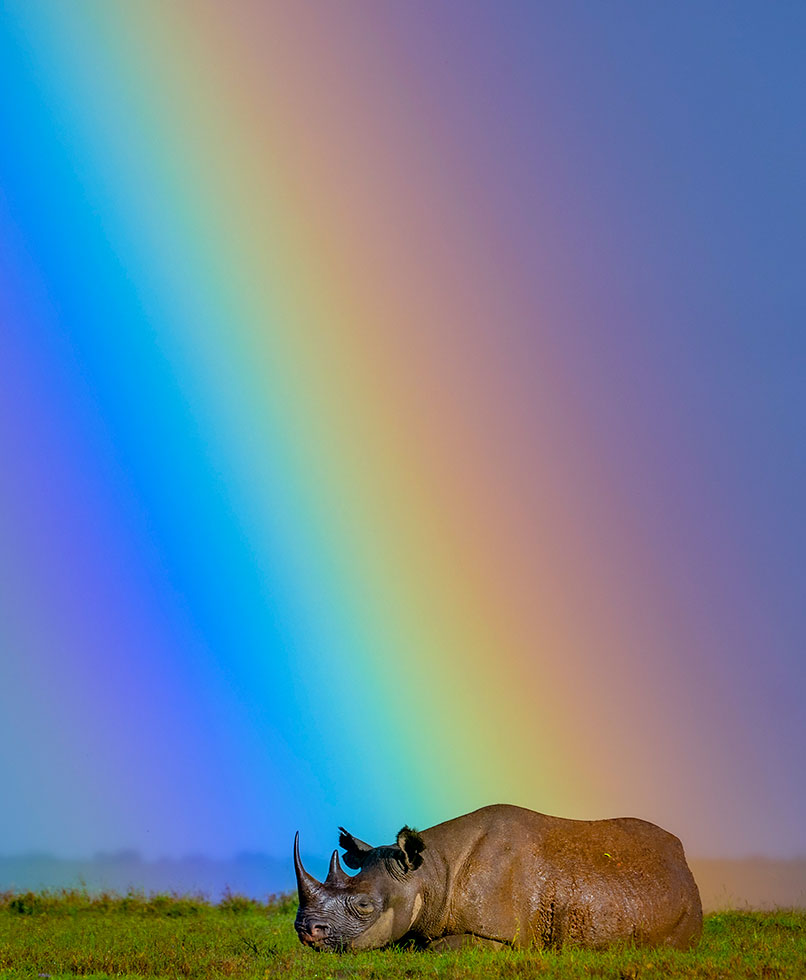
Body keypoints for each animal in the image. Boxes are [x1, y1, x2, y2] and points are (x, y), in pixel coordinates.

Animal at [294, 803, 702, 951]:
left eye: (364, 906)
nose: (305, 931)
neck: (431, 872)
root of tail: (682, 859)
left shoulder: (499, 934)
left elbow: (438, 948)